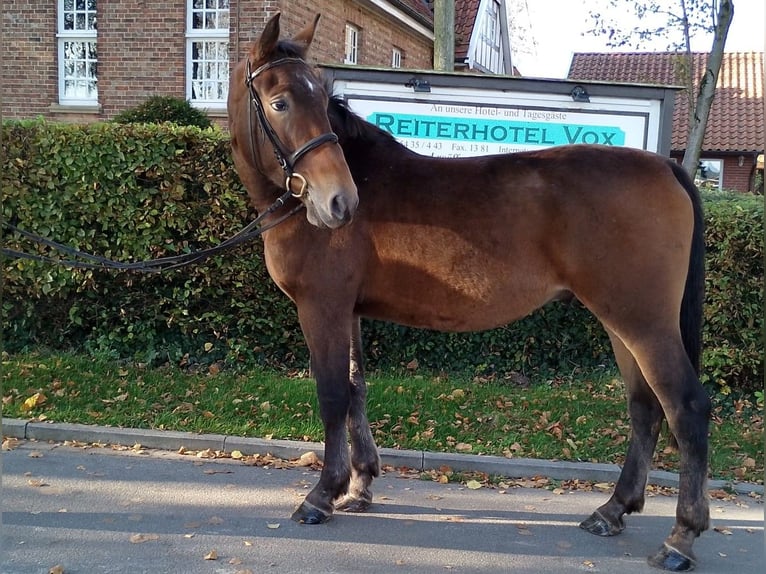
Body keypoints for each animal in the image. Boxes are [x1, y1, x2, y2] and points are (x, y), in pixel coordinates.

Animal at [230, 12, 712, 572]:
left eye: (317, 97)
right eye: (281, 102)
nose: (339, 203)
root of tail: (667, 167)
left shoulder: (321, 308)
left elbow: (332, 395)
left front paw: (322, 495)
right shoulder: (348, 311)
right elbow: (355, 390)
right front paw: (360, 485)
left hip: (644, 322)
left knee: (685, 408)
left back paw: (680, 538)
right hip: (622, 323)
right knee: (644, 407)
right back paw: (613, 510)